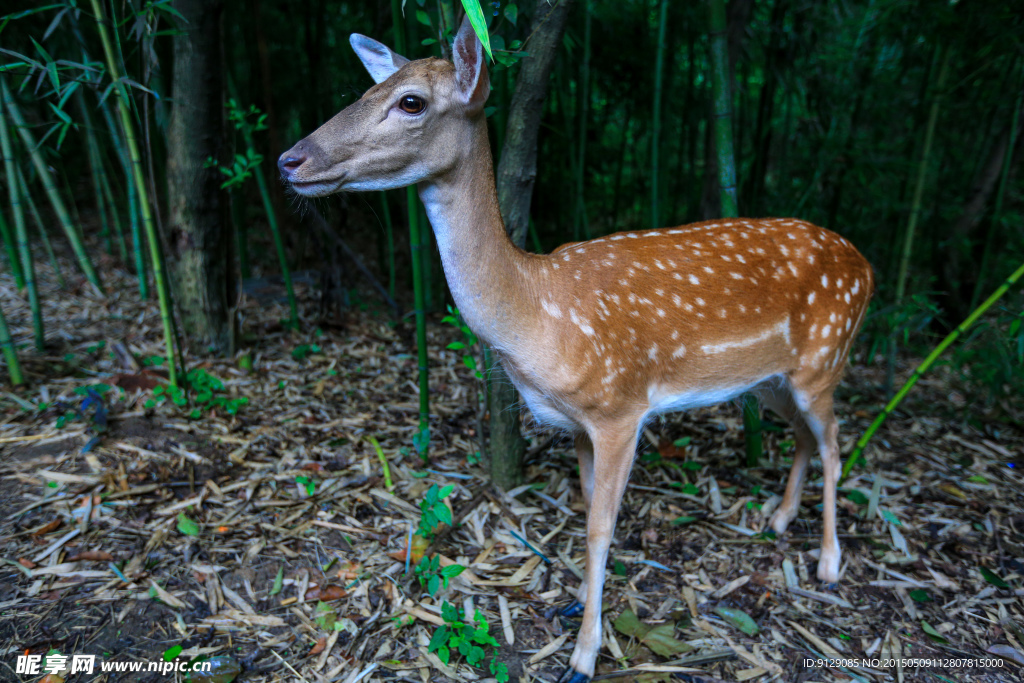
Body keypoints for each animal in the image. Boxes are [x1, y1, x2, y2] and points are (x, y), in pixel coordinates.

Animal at [278, 17, 872, 683]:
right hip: (771, 379)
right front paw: (576, 605)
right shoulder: (579, 424)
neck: (538, 316)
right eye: (364, 91)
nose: (289, 159)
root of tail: (867, 265)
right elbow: (586, 510)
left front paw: (585, 654)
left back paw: (828, 563)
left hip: (826, 357)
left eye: (411, 102)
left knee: (836, 443)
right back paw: (777, 519)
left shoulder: (620, 409)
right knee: (803, 435)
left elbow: (600, 528)